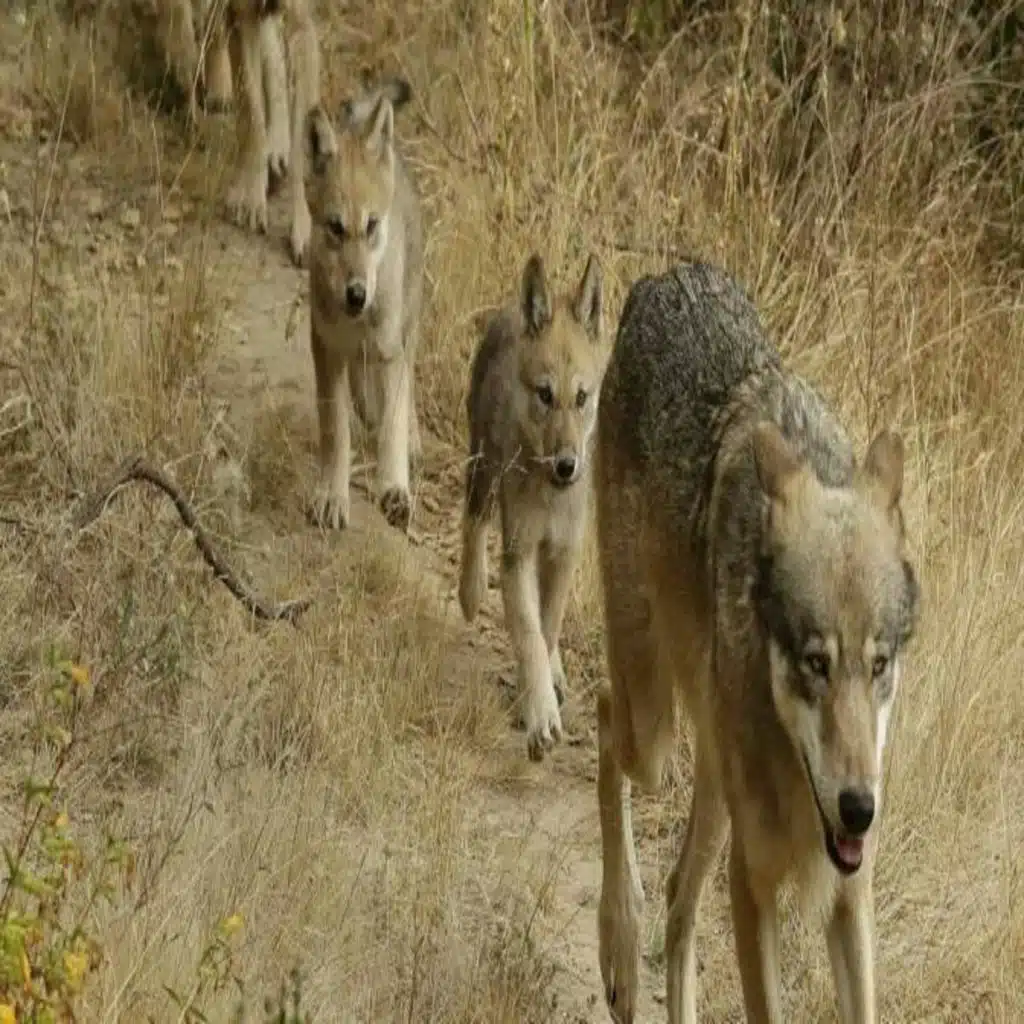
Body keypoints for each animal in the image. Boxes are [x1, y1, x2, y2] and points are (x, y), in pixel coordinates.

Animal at [157, 0, 320, 265]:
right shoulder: (242, 16)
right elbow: (252, 120)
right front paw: (251, 198)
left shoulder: (301, 26)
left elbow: (298, 152)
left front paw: (302, 230)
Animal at [303, 78, 424, 535]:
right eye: (335, 227)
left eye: (371, 225)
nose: (357, 294)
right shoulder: (327, 348)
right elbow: (336, 431)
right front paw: (332, 496)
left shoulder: (390, 348)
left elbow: (392, 425)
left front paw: (395, 489)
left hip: (406, 325)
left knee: (406, 384)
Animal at [458, 253, 606, 762]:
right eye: (545, 394)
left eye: (581, 398)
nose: (567, 465)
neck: (551, 496)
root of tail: (511, 311)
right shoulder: (519, 552)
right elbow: (528, 633)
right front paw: (540, 715)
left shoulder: (563, 553)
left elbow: (546, 626)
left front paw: (539, 696)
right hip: (482, 470)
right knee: (473, 522)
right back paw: (470, 593)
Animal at [593, 261, 920, 1023]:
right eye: (815, 662)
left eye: (879, 663)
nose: (860, 807)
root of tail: (668, 274)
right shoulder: (752, 885)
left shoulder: (849, 898)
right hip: (655, 737)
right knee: (600, 716)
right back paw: (618, 943)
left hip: (710, 781)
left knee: (679, 896)